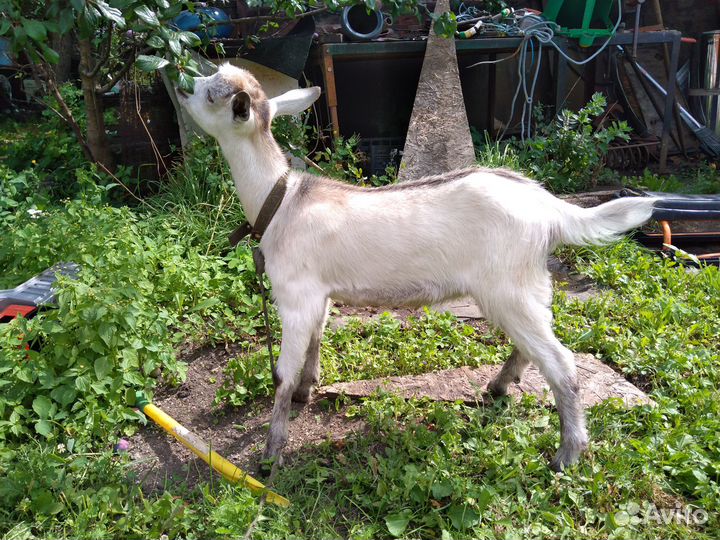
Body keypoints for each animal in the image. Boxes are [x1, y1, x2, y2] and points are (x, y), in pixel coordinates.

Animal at [177, 64, 656, 471]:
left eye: (210, 94)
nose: (181, 83)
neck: (281, 202)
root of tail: (547, 204)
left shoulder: (294, 295)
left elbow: (281, 371)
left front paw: (271, 451)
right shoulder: (319, 294)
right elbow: (316, 339)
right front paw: (306, 391)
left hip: (507, 288)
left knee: (561, 363)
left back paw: (568, 453)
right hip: (525, 287)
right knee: (534, 345)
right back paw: (500, 386)